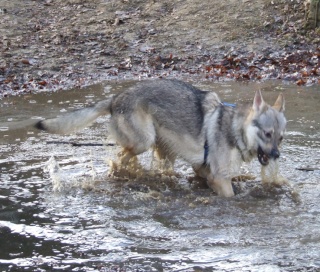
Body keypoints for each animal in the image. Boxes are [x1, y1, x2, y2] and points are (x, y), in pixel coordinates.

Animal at [35, 79, 288, 197]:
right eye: (267, 134)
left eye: (281, 138)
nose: (276, 155)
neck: (234, 129)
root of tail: (115, 98)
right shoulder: (218, 177)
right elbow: (231, 195)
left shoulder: (202, 169)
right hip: (143, 142)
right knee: (118, 158)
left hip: (163, 148)